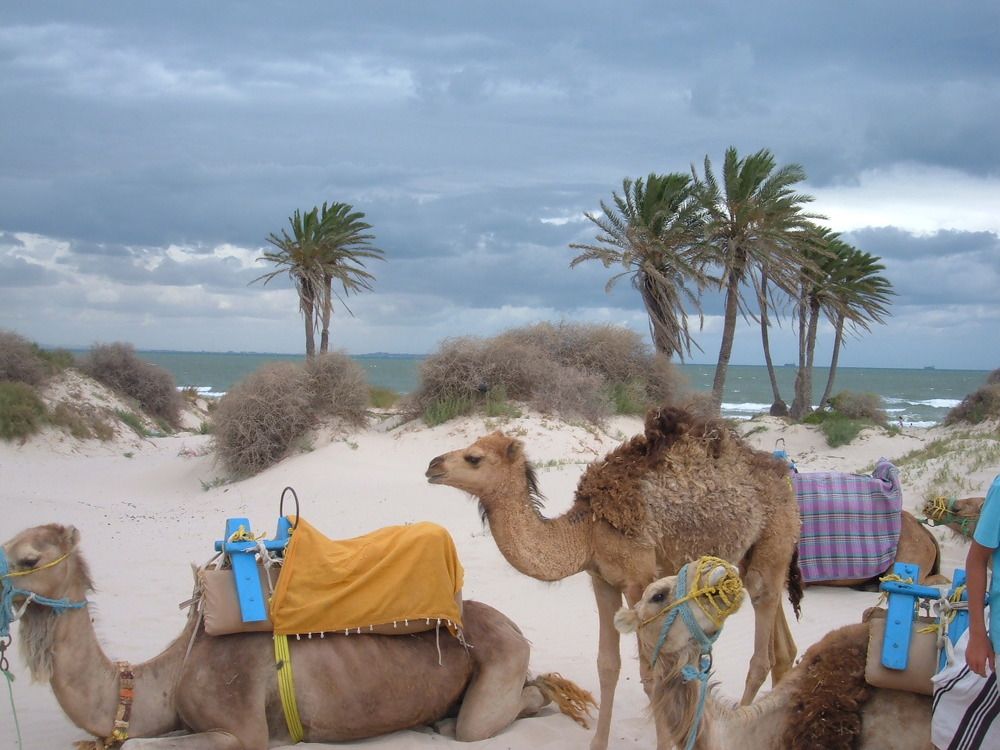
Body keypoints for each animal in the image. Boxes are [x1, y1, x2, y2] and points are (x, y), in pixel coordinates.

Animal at [1, 523, 595, 750]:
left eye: (27, 558)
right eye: (10, 545)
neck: (167, 677)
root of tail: (514, 625)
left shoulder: (238, 729)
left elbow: (139, 745)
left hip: (500, 658)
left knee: (486, 719)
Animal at [426, 406, 803, 750]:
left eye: (474, 458)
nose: (433, 465)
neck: (588, 530)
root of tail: (784, 478)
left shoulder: (639, 579)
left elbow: (650, 674)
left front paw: (664, 743)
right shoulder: (602, 580)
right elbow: (607, 666)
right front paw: (598, 742)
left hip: (773, 543)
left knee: (761, 649)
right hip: (751, 558)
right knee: (782, 643)